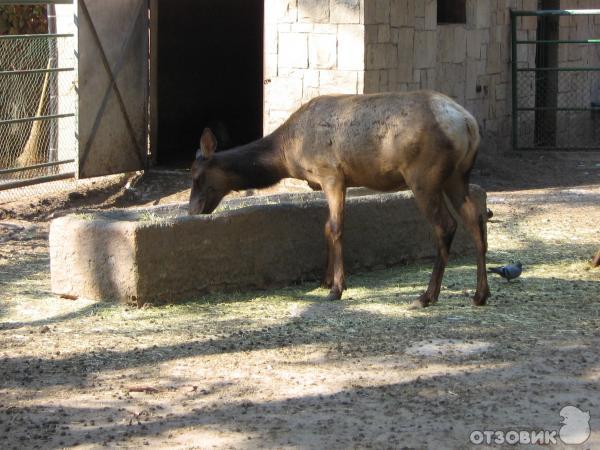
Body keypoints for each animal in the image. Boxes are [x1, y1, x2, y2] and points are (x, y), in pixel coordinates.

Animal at [190, 91, 490, 310]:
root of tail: (468, 124)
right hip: (457, 176)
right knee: (475, 218)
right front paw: (326, 281)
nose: (193, 209)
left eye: (196, 176)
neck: (287, 154)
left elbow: (335, 228)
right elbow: (326, 227)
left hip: (423, 176)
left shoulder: (331, 174)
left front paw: (337, 288)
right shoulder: (332, 181)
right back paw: (480, 294)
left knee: (446, 225)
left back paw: (426, 296)